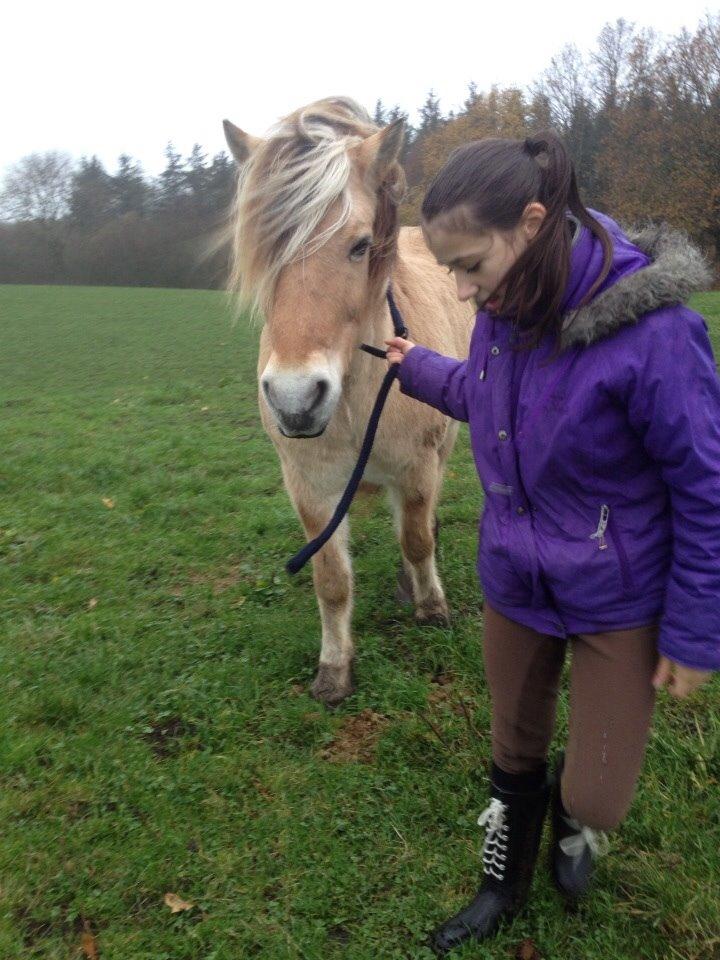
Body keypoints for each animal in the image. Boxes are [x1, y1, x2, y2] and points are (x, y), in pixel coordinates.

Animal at [224, 97, 472, 704]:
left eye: (359, 245)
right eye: (263, 252)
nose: (294, 399)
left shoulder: (418, 467)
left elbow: (416, 538)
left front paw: (431, 608)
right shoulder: (310, 489)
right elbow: (332, 581)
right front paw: (335, 667)